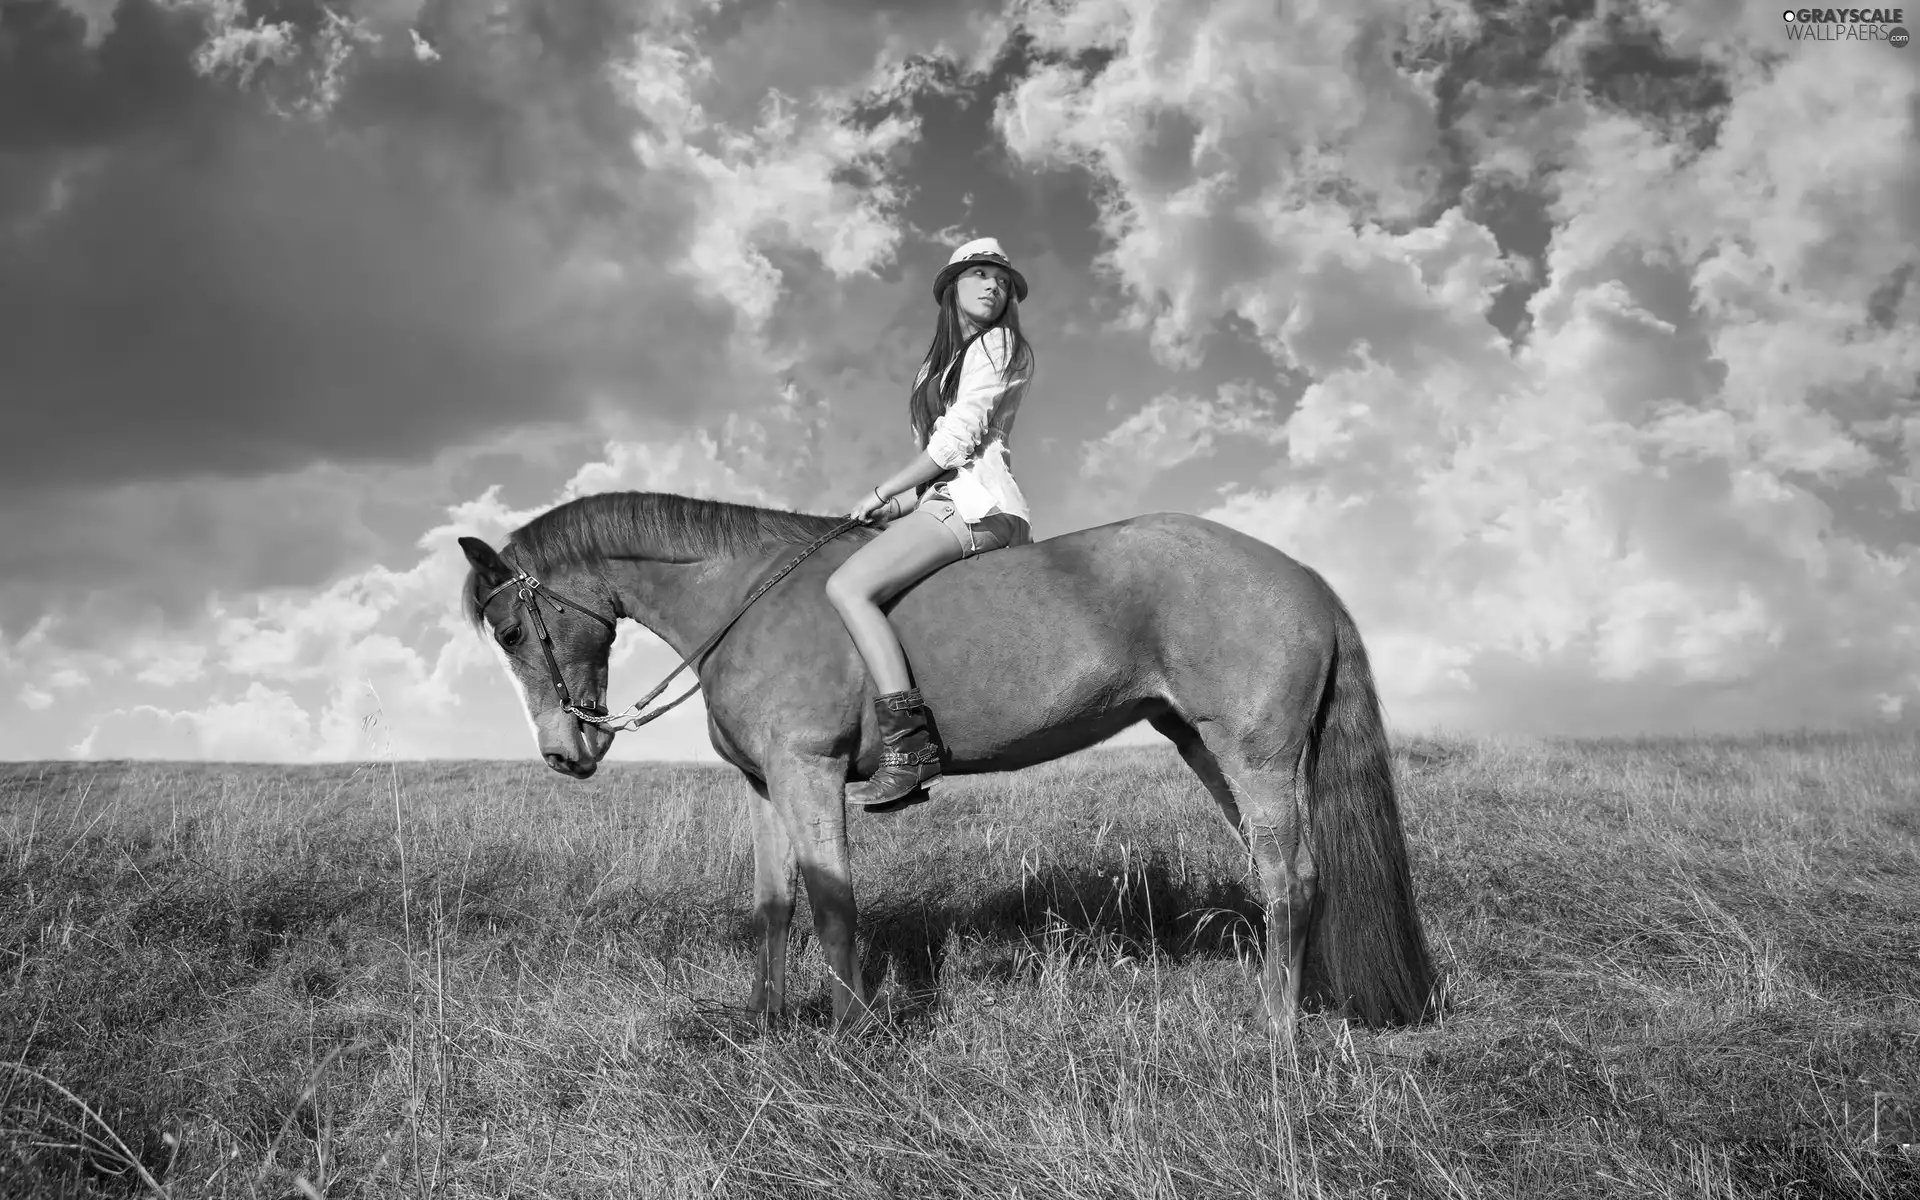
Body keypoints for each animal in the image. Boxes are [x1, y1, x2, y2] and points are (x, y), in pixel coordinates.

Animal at [456, 487, 1436, 1036]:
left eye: (509, 632)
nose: (565, 751)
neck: (745, 599)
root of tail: (1303, 576)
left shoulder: (810, 773)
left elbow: (833, 902)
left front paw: (851, 1035)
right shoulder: (763, 786)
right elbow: (775, 906)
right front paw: (765, 1025)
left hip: (1253, 756)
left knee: (1290, 880)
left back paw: (1275, 1030)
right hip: (1210, 749)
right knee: (1296, 876)